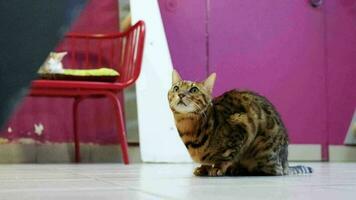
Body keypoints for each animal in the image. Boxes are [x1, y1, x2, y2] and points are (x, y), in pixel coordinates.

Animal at [167, 69, 312, 176]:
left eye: (194, 90)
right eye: (176, 88)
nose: (181, 94)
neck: (188, 128)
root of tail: (286, 162)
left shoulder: (242, 125)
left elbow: (227, 156)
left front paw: (217, 167)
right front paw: (204, 168)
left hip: (262, 151)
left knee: (274, 171)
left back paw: (239, 170)